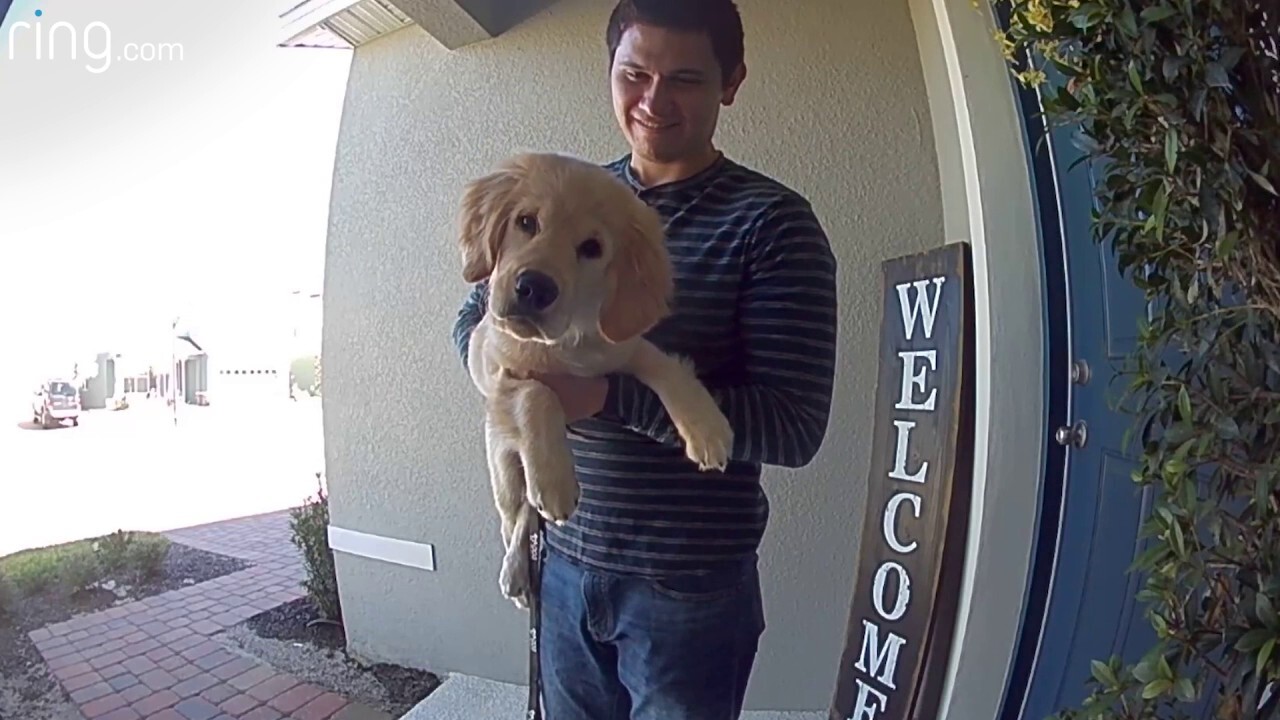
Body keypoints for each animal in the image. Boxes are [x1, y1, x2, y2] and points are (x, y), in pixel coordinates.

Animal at [460, 152, 737, 604]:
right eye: (526, 222)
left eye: (591, 249)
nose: (533, 287)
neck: (564, 343)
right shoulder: (493, 367)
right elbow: (537, 394)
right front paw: (555, 480)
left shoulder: (619, 346)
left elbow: (663, 364)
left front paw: (706, 427)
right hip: (503, 467)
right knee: (515, 518)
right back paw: (517, 572)